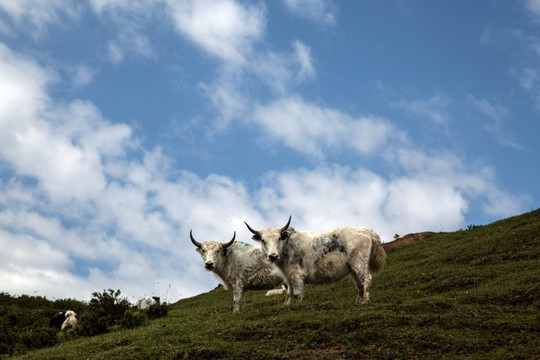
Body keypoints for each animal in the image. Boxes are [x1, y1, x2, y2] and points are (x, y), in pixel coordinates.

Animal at [247, 217, 386, 304]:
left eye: (279, 238)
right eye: (263, 240)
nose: (273, 255)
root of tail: (367, 231)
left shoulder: (297, 276)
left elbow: (296, 294)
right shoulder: (288, 278)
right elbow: (289, 295)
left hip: (359, 262)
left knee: (366, 278)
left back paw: (364, 301)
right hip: (353, 268)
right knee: (359, 283)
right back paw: (358, 301)